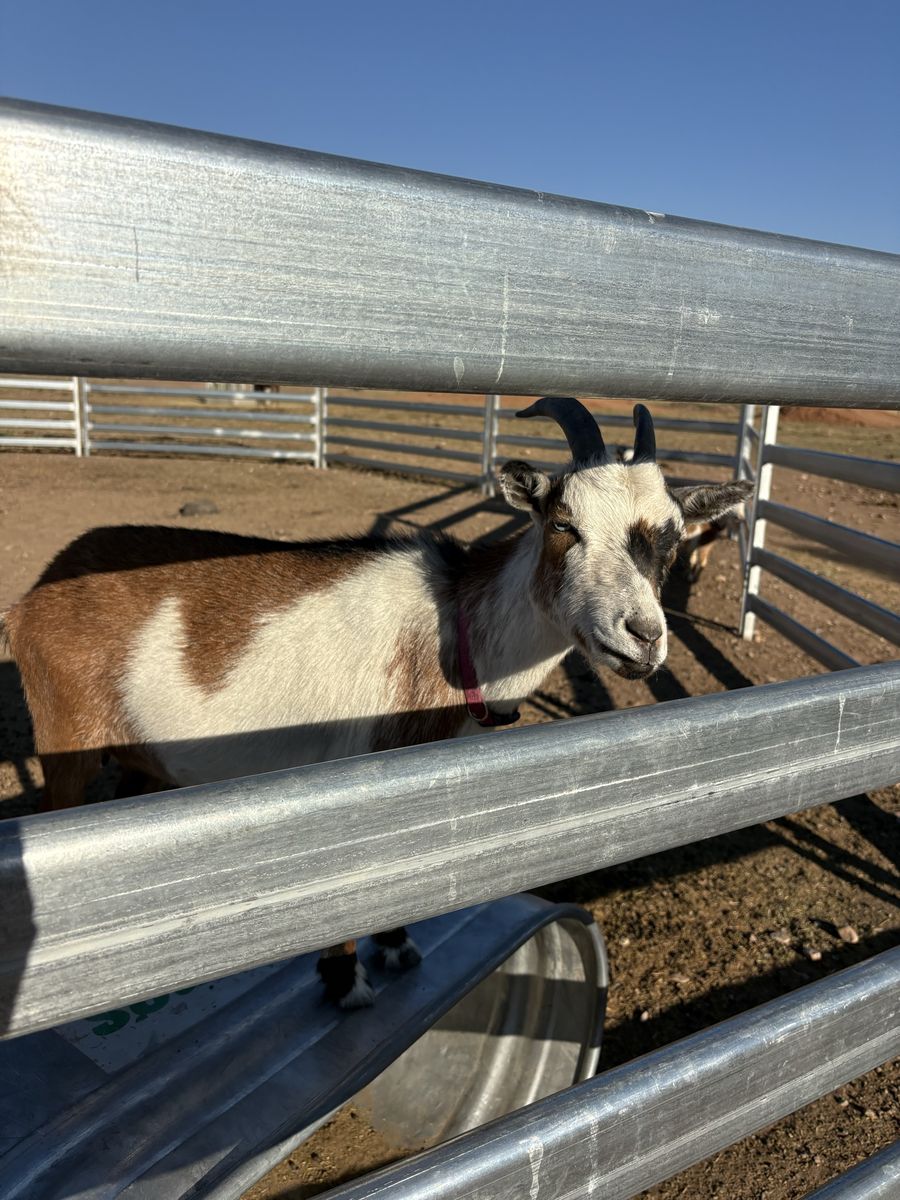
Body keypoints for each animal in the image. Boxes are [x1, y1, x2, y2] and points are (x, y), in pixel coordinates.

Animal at [5, 398, 752, 1006]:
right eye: (564, 524)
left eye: (672, 537)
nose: (643, 637)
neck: (451, 627)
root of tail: (35, 592)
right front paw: (345, 981)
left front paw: (394, 947)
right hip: (66, 737)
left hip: (141, 752)